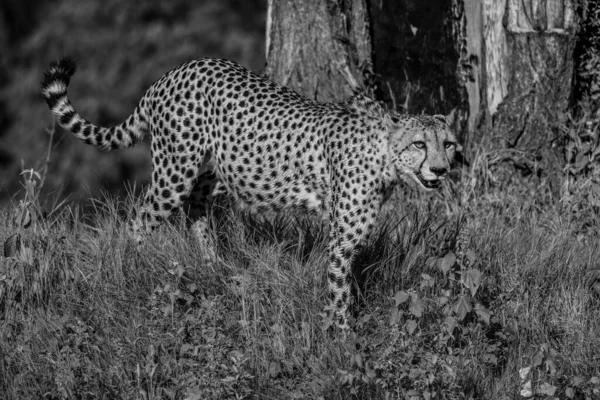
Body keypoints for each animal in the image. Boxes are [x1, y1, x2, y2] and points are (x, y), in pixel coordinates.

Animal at [41, 57, 454, 328]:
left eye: (447, 144)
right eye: (419, 144)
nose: (441, 169)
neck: (385, 157)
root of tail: (173, 73)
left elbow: (349, 280)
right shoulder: (340, 238)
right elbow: (339, 288)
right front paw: (342, 338)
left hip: (215, 168)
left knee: (197, 206)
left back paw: (215, 265)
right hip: (175, 171)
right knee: (142, 216)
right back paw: (138, 266)